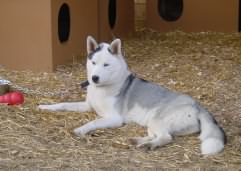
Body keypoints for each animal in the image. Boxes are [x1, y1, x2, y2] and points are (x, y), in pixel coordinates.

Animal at [38, 35, 227, 155]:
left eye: (106, 65)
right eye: (93, 62)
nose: (94, 78)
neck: (103, 88)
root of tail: (198, 106)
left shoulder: (114, 118)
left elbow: (94, 122)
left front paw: (81, 129)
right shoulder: (87, 106)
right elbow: (62, 104)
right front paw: (45, 106)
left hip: (156, 119)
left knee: (165, 137)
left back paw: (148, 145)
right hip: (151, 123)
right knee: (157, 135)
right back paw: (138, 141)